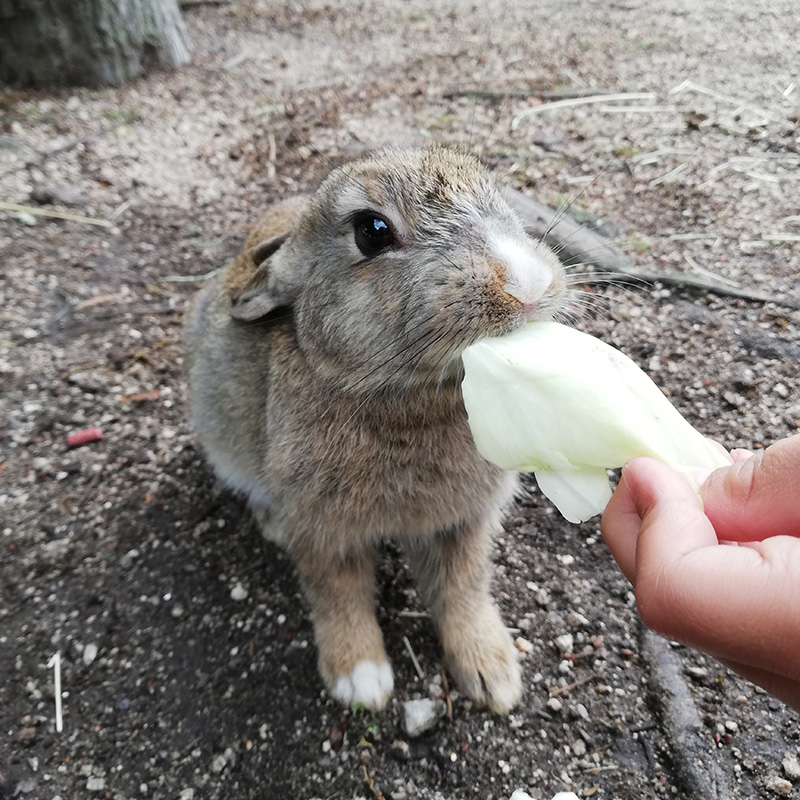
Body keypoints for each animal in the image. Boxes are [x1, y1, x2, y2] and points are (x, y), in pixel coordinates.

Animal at [181, 145, 568, 712]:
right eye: (372, 231)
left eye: (499, 199)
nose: (529, 285)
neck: (412, 401)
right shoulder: (322, 527)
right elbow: (337, 594)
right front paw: (360, 680)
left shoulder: (465, 522)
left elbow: (463, 586)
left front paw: (493, 675)